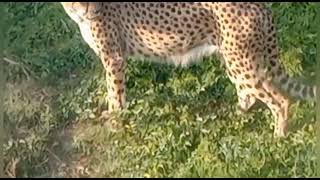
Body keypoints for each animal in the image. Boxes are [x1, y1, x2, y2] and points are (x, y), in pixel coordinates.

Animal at [60, 2, 318, 137]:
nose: (90, 11)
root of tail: (261, 6)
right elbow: (118, 96)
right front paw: (118, 118)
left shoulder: (114, 59)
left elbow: (115, 94)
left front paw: (115, 123)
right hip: (234, 60)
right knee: (248, 93)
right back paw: (233, 115)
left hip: (242, 62)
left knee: (280, 100)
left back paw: (278, 136)